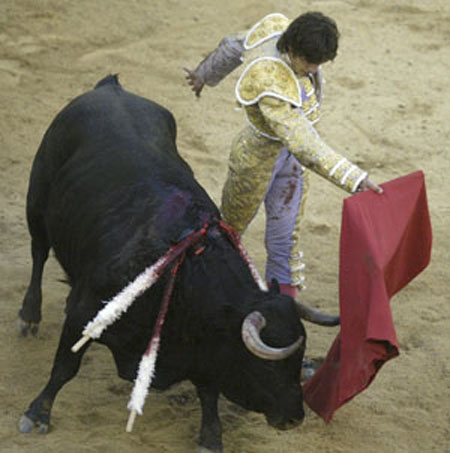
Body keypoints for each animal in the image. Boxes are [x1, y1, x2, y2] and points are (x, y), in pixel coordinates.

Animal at [19, 76, 340, 450]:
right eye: (268, 367)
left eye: (298, 362)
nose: (294, 418)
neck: (185, 275)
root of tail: (110, 87)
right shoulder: (84, 311)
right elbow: (65, 366)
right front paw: (37, 412)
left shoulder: (205, 350)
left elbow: (209, 390)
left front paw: (211, 435)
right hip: (36, 200)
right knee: (38, 253)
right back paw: (29, 315)